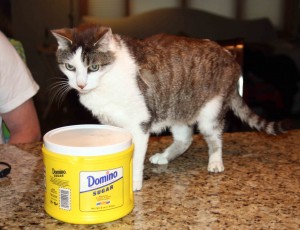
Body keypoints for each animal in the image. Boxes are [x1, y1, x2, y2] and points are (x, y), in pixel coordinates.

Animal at [51, 24, 286, 191]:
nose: (80, 84)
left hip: (211, 111)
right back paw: (164, 156)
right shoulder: (113, 125)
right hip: (177, 109)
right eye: (70, 67)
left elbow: (135, 158)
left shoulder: (139, 123)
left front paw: (133, 184)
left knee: (215, 138)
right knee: (185, 139)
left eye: (94, 67)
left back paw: (215, 162)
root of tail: (231, 58)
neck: (106, 82)